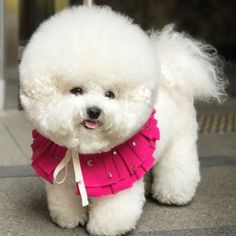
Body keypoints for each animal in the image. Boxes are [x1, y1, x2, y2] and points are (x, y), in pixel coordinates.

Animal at [19, 5, 226, 236]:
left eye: (110, 94)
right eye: (77, 91)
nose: (93, 111)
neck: (85, 151)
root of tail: (171, 78)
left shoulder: (118, 181)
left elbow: (115, 210)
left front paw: (105, 228)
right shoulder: (63, 178)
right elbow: (64, 202)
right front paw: (69, 220)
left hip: (180, 140)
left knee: (178, 166)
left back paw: (174, 195)